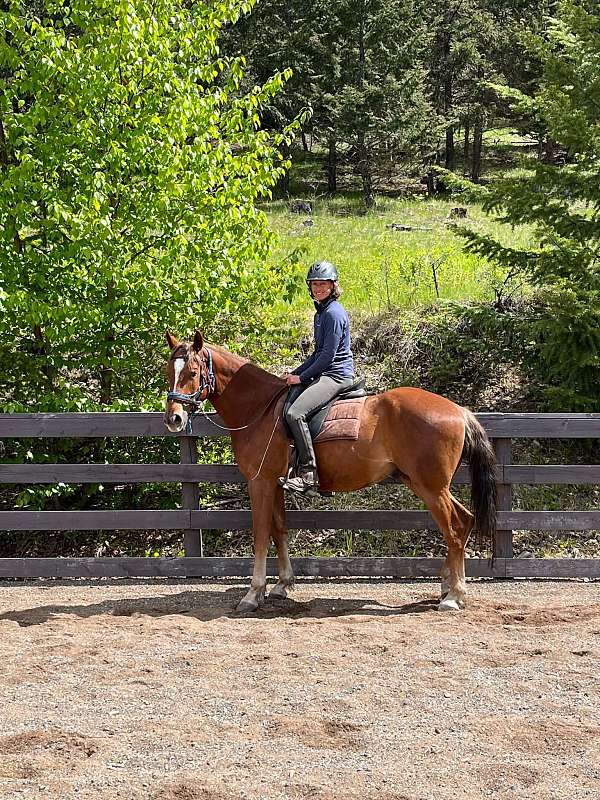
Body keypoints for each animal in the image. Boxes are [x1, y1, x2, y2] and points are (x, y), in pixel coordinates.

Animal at [164, 330, 497, 613]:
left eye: (192, 373)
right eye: (170, 372)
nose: (174, 419)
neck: (259, 407)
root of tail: (459, 411)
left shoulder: (259, 483)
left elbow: (260, 535)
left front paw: (253, 593)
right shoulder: (274, 483)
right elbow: (279, 530)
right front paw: (283, 585)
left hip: (431, 488)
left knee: (454, 529)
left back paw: (454, 596)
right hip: (425, 485)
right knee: (464, 521)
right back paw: (447, 588)